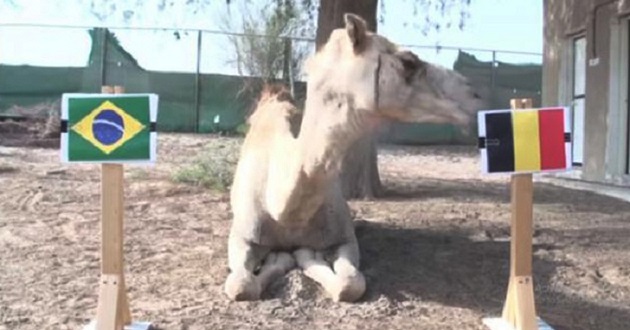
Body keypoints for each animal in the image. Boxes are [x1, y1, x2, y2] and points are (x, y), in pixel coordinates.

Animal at [226, 12, 484, 302]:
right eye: (409, 62)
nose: (475, 95)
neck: (284, 210)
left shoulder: (344, 237)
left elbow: (351, 283)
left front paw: (303, 255)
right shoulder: (241, 236)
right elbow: (241, 285)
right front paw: (282, 257)